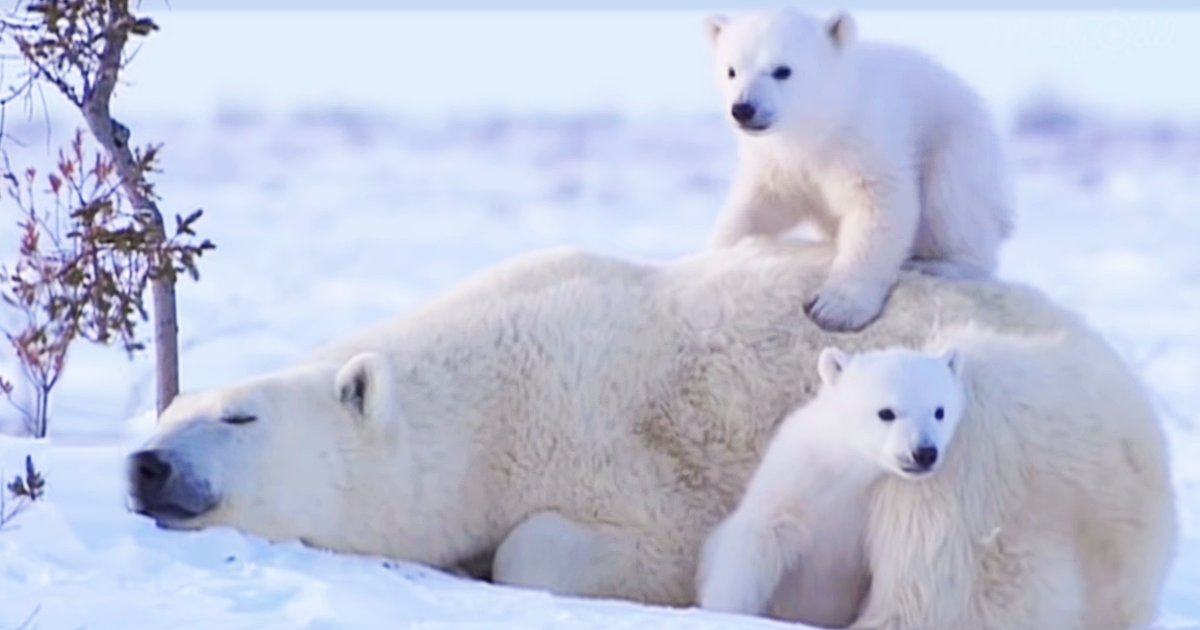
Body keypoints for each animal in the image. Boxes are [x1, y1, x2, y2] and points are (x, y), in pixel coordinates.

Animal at [696, 344, 965, 628]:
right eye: (886, 412)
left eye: (939, 411)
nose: (924, 453)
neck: (845, 472)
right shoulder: (792, 479)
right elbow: (755, 542)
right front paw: (720, 612)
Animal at [703, 9, 1014, 332]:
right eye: (731, 70)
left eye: (782, 70)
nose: (743, 108)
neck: (821, 126)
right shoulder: (777, 162)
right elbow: (759, 206)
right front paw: (717, 250)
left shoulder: (863, 141)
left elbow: (879, 209)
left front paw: (834, 308)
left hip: (960, 148)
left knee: (952, 204)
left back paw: (939, 263)